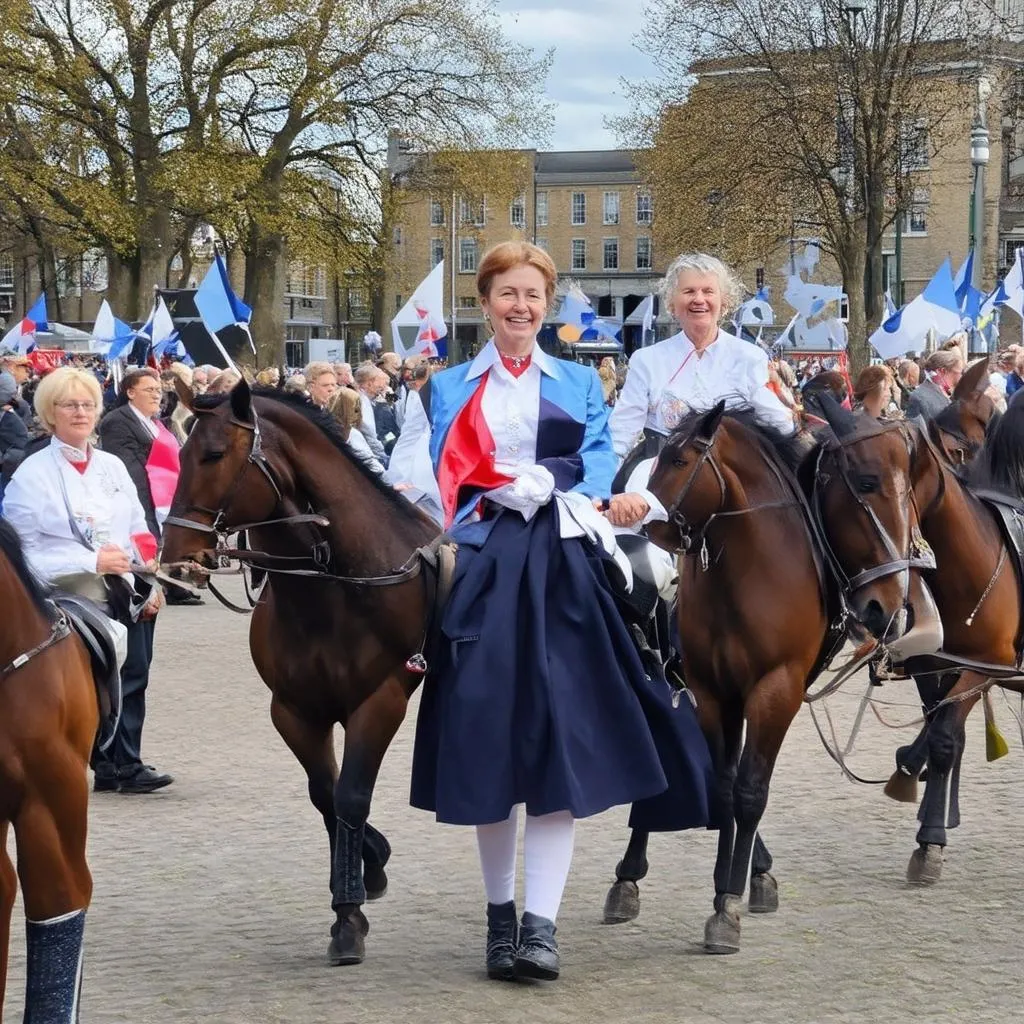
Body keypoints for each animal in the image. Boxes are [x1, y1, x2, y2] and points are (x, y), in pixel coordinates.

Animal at [159, 385, 436, 966]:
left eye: (214, 454)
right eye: (180, 453)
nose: (176, 559)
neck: (334, 582)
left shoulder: (379, 701)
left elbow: (350, 795)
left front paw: (349, 916)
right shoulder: (294, 709)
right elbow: (325, 795)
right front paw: (366, 870)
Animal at [602, 403, 843, 954]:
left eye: (681, 459)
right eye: (657, 458)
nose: (643, 522)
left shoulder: (775, 690)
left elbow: (749, 791)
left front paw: (730, 899)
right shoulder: (712, 694)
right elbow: (723, 786)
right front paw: (724, 887)